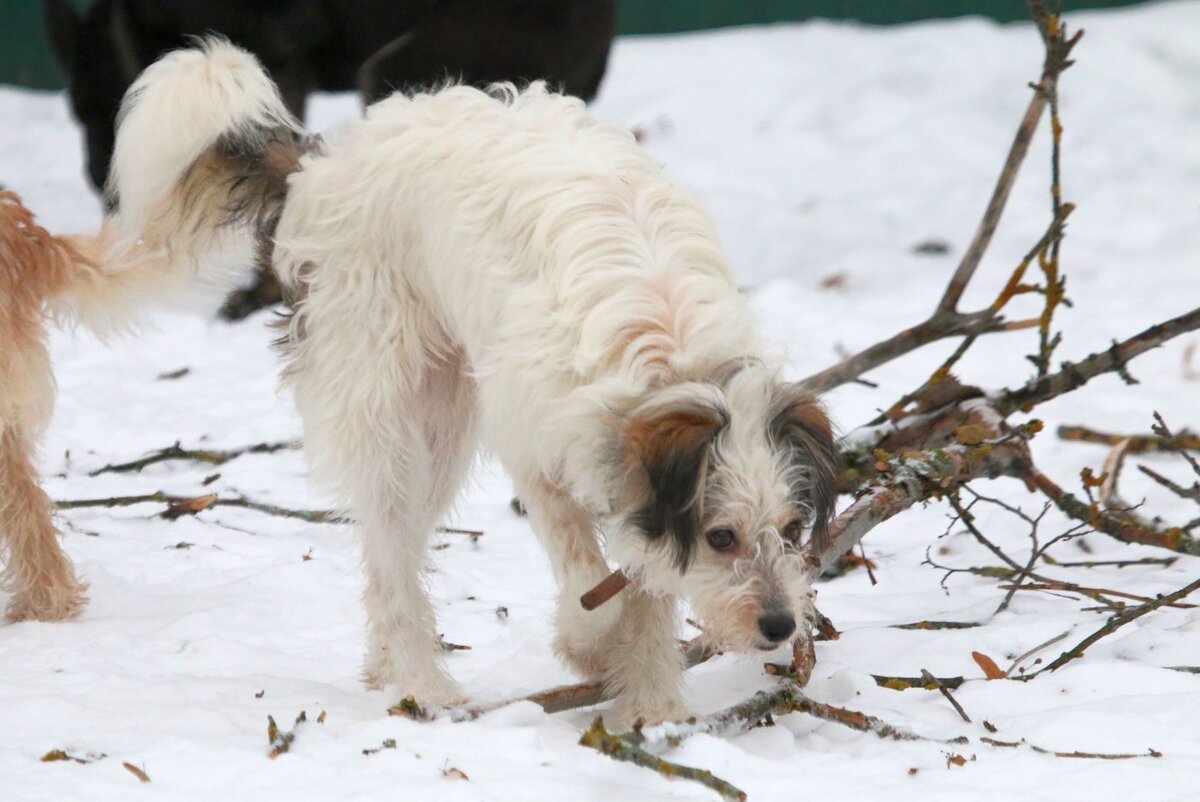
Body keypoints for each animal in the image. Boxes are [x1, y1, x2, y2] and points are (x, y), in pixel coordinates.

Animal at [105, 40, 835, 725]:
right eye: (721, 537)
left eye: (793, 527)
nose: (780, 626)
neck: (673, 357)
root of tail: (325, 162)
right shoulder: (541, 455)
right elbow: (591, 585)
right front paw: (590, 649)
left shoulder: (638, 492)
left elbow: (646, 584)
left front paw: (655, 711)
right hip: (391, 411)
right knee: (392, 555)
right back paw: (424, 685)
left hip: (439, 441)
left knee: (391, 556)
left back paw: (390, 669)